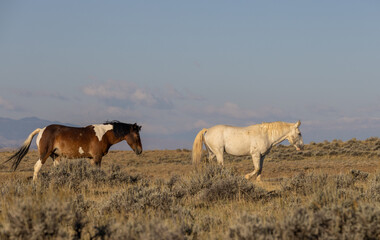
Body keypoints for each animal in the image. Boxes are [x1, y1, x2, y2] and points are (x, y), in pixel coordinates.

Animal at [3, 122, 143, 180]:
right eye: (136, 135)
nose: (140, 151)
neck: (103, 134)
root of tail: (42, 130)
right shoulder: (97, 157)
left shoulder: (92, 159)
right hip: (44, 154)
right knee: (37, 167)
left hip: (55, 156)